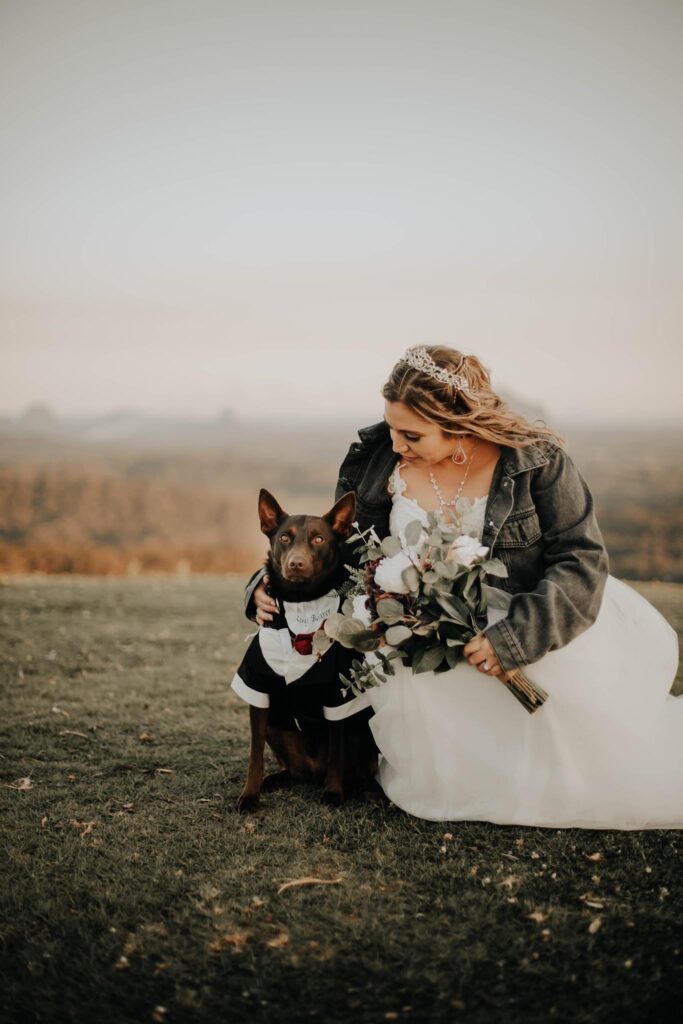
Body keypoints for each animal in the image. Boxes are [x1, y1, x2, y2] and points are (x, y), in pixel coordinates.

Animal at [232, 491, 376, 811]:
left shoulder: (337, 697)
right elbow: (254, 755)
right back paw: (276, 779)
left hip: (362, 730)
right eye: (285, 537)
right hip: (276, 727)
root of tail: (312, 768)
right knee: (292, 770)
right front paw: (250, 794)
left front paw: (333, 792)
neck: (300, 604)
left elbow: (336, 753)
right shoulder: (257, 687)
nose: (296, 563)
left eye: (319, 539)